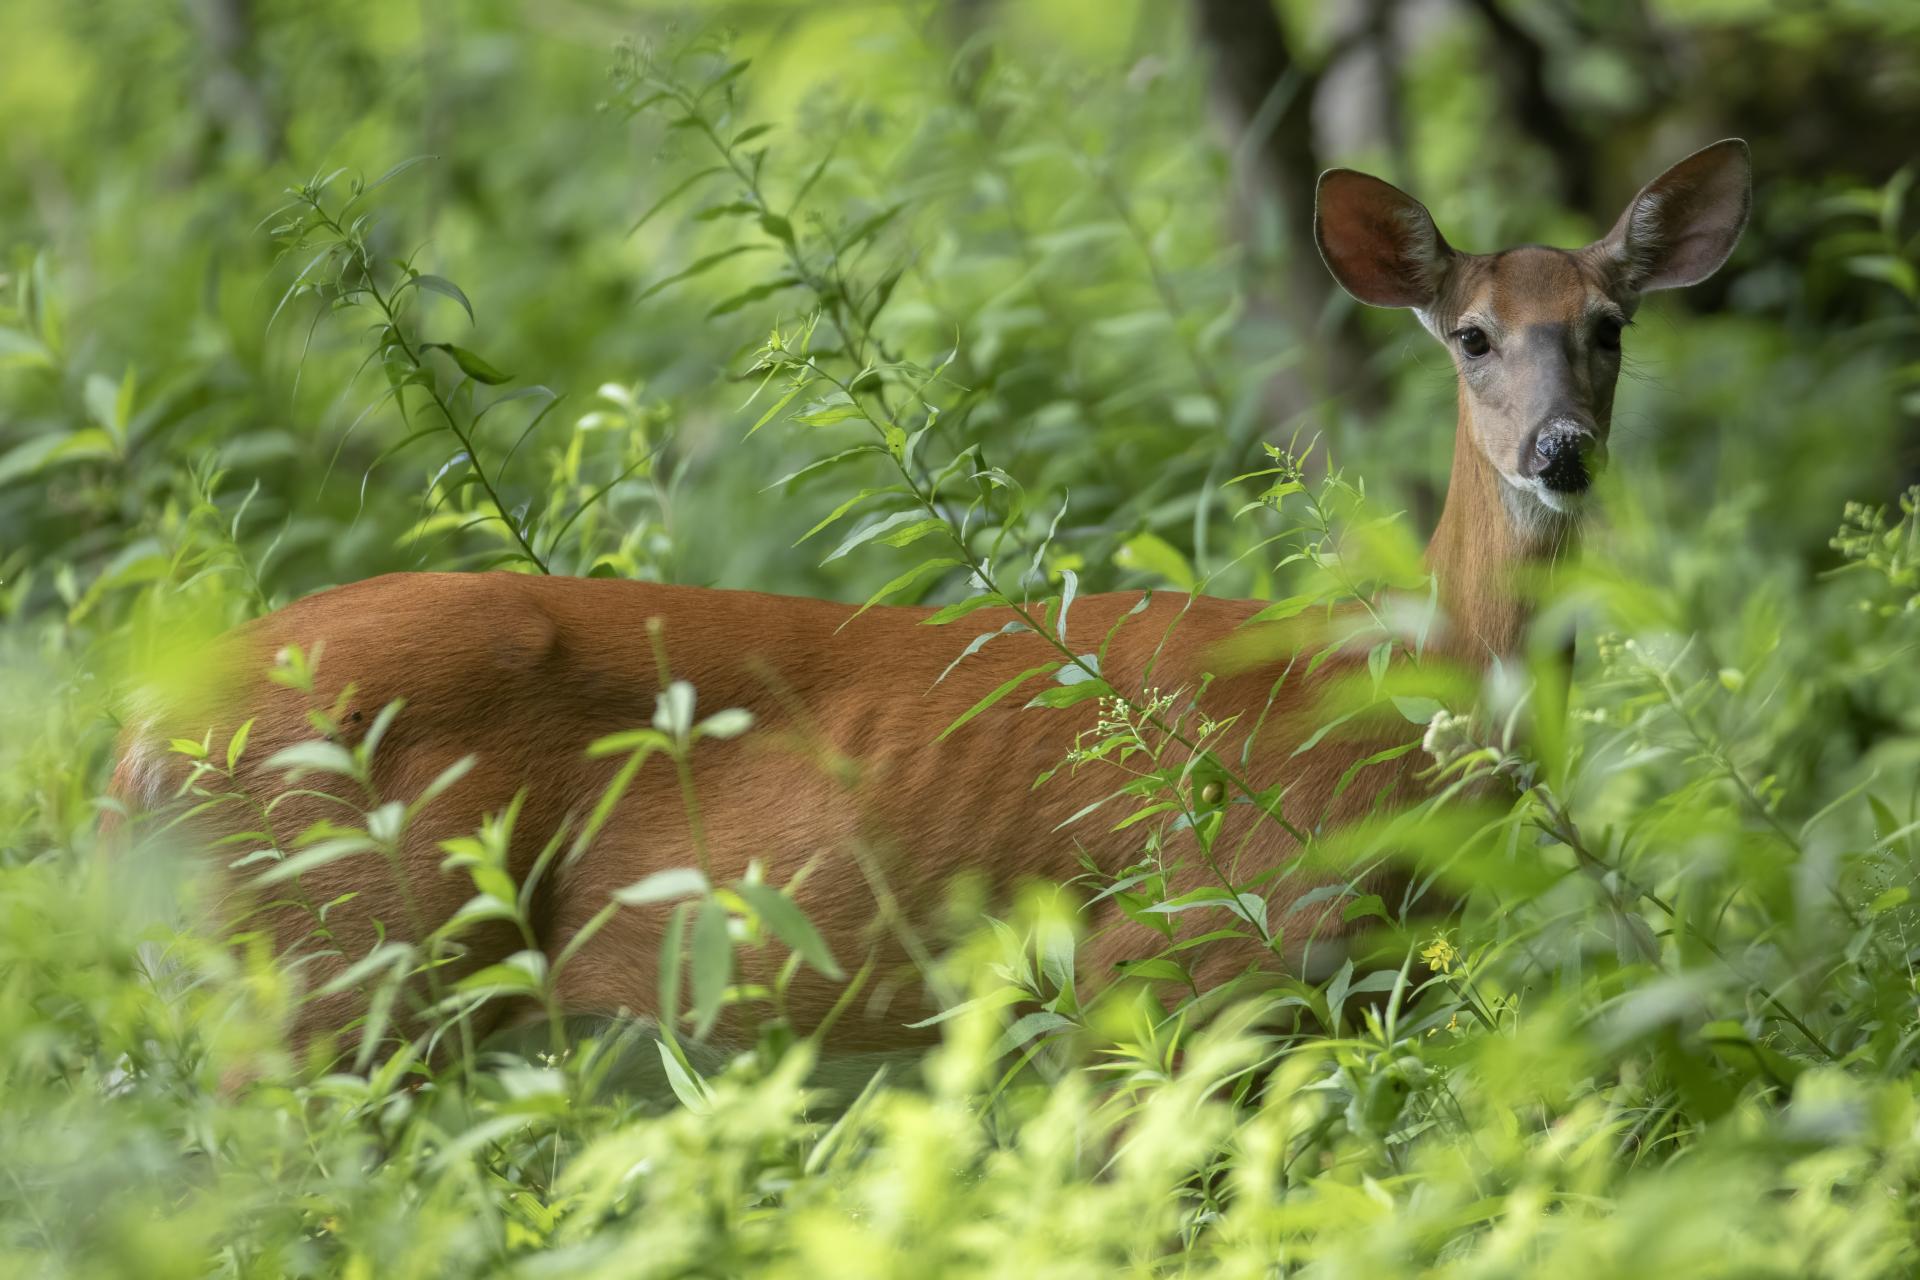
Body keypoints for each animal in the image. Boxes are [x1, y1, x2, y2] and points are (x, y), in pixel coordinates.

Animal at [110, 140, 1751, 1060]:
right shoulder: (1168, 950)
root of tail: (127, 750)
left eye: (1608, 324)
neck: (1397, 711)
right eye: (1472, 336)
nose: (1560, 451)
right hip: (338, 966)